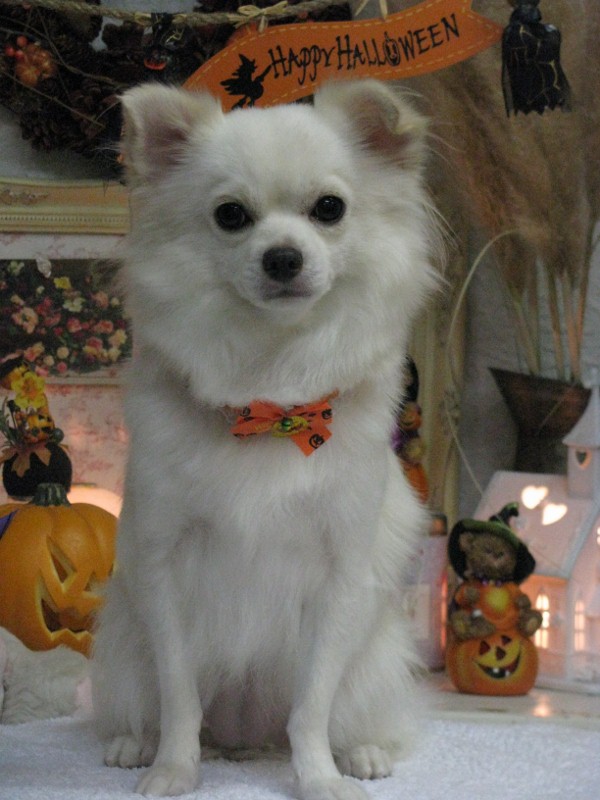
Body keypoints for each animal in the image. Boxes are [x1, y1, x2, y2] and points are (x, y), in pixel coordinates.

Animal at [92, 79, 440, 800]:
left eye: (330, 209)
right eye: (231, 216)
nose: (283, 255)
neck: (272, 399)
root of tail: (245, 737)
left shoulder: (339, 580)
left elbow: (311, 706)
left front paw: (319, 779)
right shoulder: (164, 569)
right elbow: (179, 696)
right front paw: (174, 770)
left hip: (371, 669)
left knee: (348, 716)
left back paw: (362, 754)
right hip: (123, 653)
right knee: (149, 706)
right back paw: (132, 745)